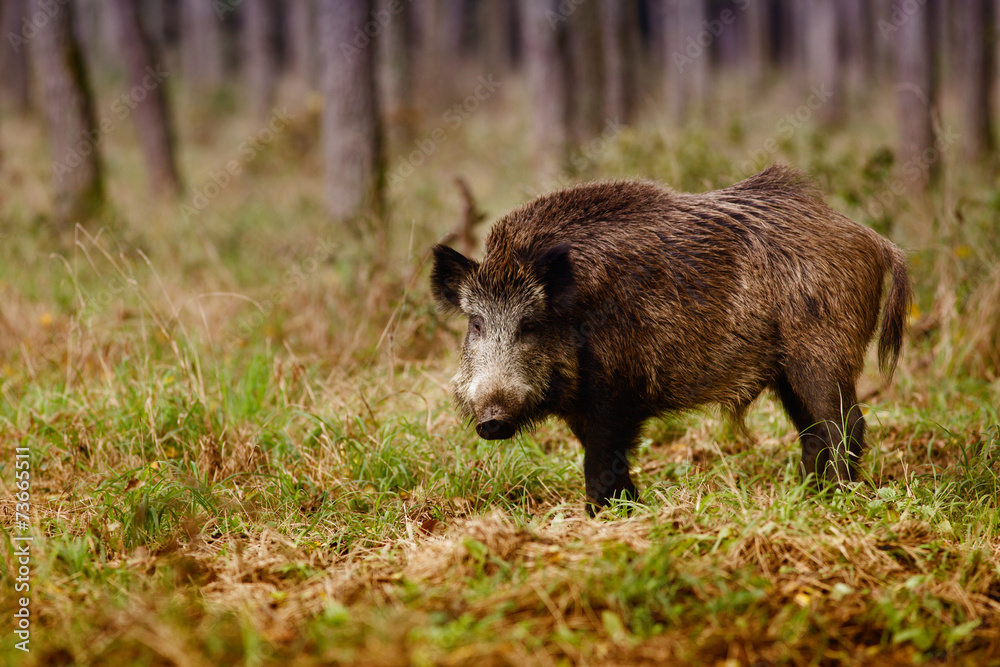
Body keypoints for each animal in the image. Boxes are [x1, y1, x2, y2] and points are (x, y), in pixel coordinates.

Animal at [430, 165, 911, 514]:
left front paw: (605, 516)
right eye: (476, 323)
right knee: (813, 433)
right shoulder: (584, 407)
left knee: (846, 425)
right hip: (787, 372)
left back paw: (840, 499)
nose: (491, 421)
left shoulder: (615, 395)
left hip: (822, 354)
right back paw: (808, 498)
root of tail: (872, 238)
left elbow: (601, 461)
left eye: (530, 323)